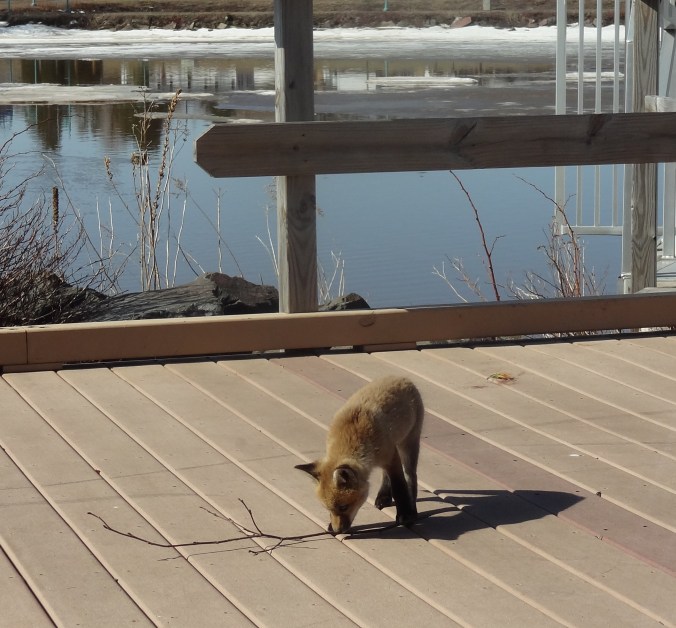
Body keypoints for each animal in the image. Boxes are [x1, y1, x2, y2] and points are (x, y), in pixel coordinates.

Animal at [295, 375, 424, 534]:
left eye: (343, 507)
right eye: (328, 509)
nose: (337, 531)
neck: (352, 437)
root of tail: (401, 378)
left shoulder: (390, 456)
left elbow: (399, 488)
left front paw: (405, 515)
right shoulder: (388, 457)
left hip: (408, 444)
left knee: (411, 477)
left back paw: (411, 506)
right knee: (385, 475)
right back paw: (383, 496)